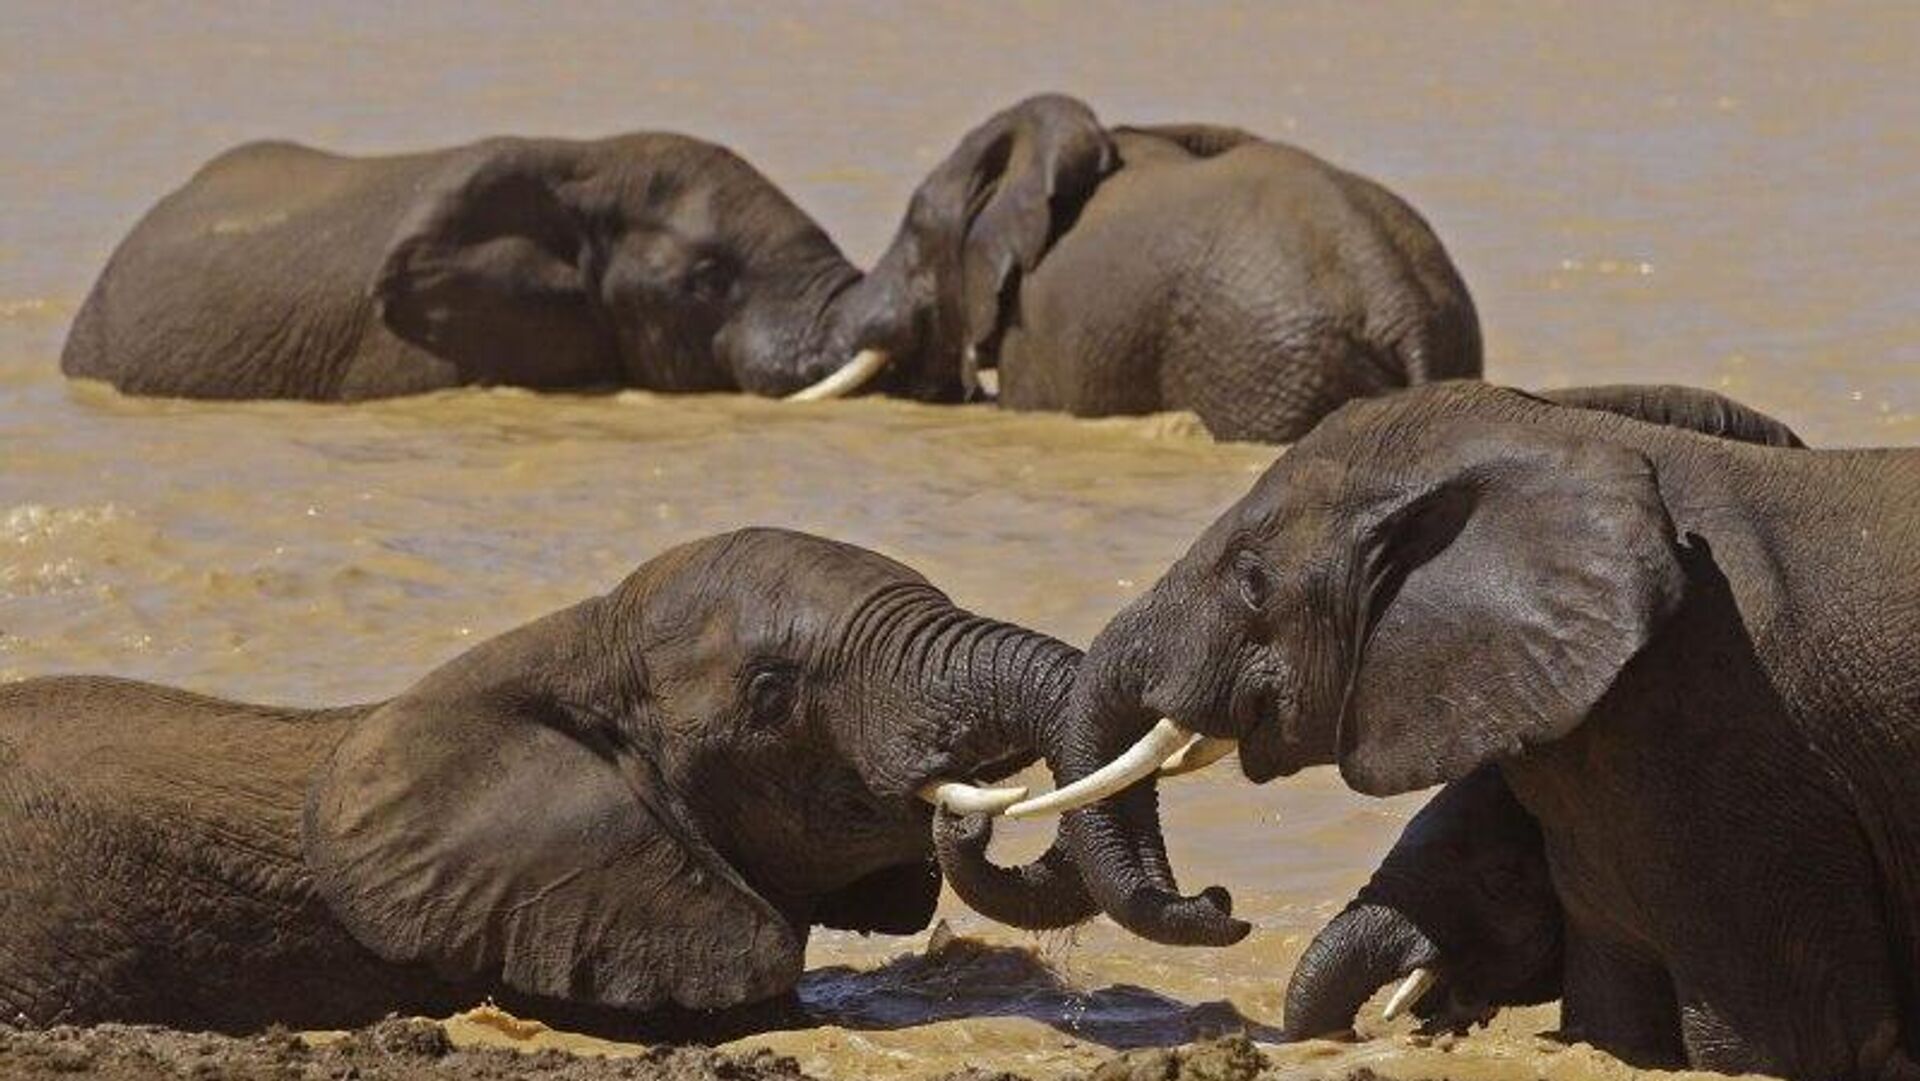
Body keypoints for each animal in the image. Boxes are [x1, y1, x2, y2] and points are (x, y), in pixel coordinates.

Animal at [953, 380, 1919, 1080]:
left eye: (1254, 579)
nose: (1224, 901)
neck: (1566, 434)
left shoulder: (1730, 741)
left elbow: (1779, 1043)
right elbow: (1614, 1022)